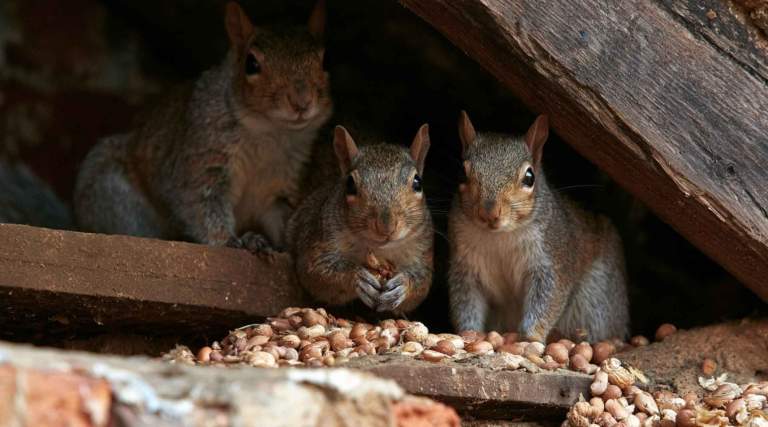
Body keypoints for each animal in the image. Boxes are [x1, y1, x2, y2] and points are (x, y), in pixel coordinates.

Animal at [73, 1, 332, 253]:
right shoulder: (203, 157)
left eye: (324, 61)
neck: (269, 132)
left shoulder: (280, 183)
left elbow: (280, 216)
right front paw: (230, 240)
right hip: (111, 194)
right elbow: (201, 203)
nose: (302, 101)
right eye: (251, 64)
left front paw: (287, 248)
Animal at [286, 125, 434, 313]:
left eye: (418, 182)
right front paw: (358, 277)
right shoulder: (318, 238)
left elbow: (422, 284)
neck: (378, 250)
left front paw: (402, 285)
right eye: (350, 184)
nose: (386, 226)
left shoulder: (422, 250)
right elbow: (316, 271)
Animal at [447, 111, 629, 342]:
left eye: (529, 177)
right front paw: (469, 334)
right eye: (462, 174)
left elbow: (548, 298)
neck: (500, 236)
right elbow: (466, 301)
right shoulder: (466, 267)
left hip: (597, 299)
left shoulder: (552, 259)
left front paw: (531, 337)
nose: (489, 213)